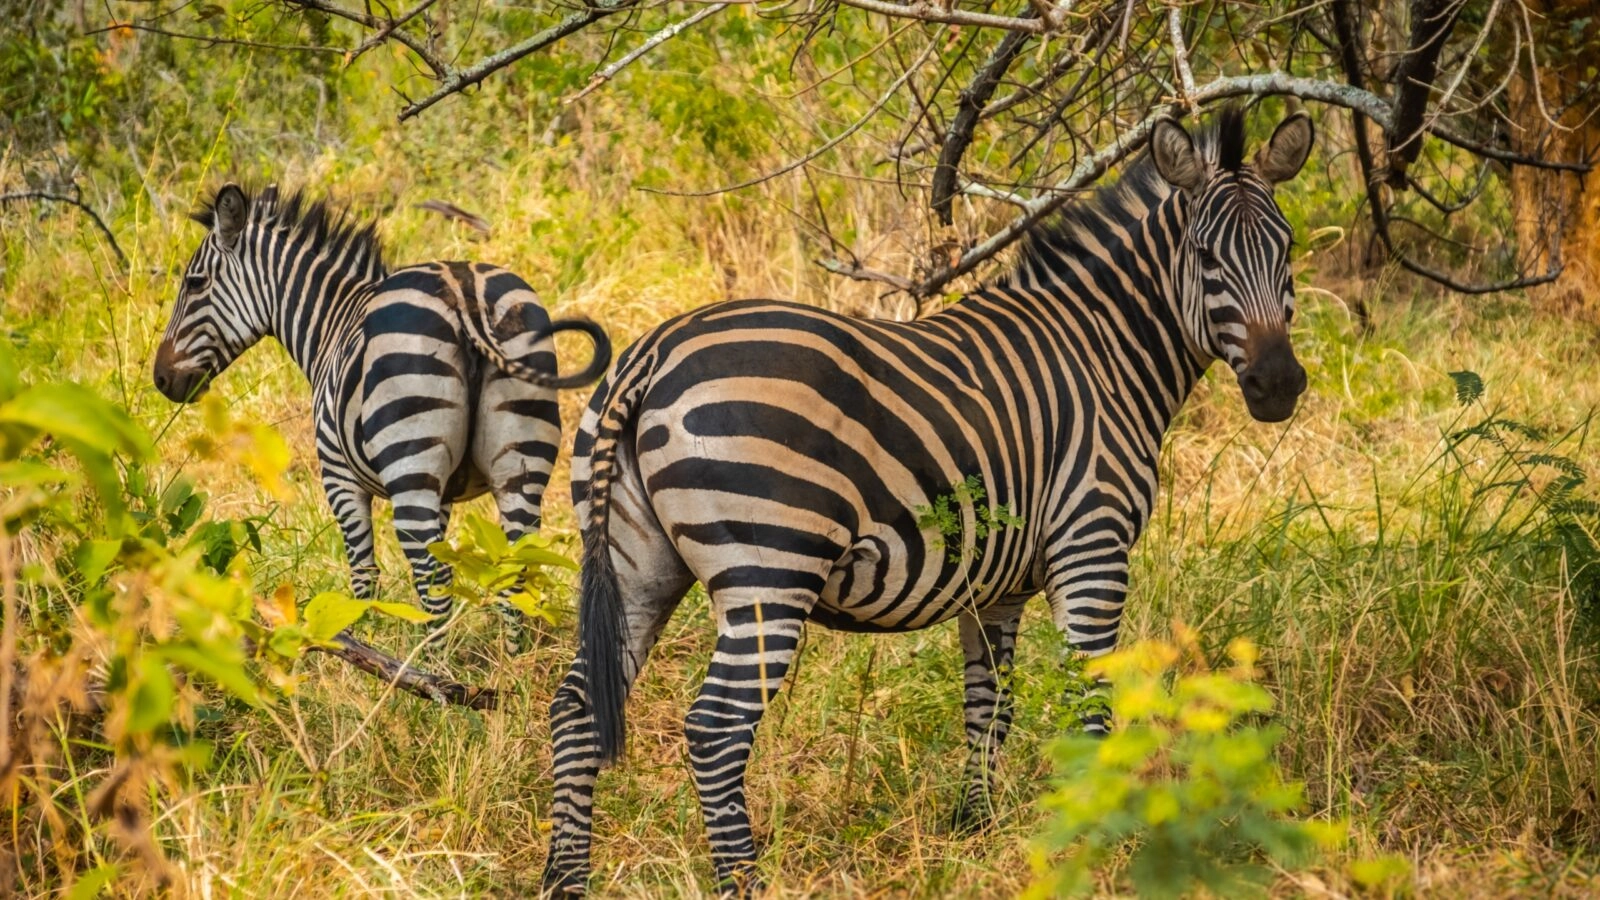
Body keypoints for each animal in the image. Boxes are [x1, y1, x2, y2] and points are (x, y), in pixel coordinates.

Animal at [152, 184, 609, 647]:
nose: (161, 379)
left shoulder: (338, 475)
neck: (331, 324)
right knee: (514, 570)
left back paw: (428, 664)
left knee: (432, 575)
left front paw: (359, 643)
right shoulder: (444, 491)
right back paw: (508, 656)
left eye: (194, 283)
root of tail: (464, 294)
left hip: (410, 461)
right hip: (521, 461)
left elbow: (363, 574)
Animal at [540, 105, 1314, 895]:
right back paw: (744, 881)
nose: (1279, 385)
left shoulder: (997, 585)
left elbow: (990, 706)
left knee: (576, 708)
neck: (1104, 353)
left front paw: (976, 828)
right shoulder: (1092, 546)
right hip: (770, 567)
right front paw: (1101, 838)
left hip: (637, 564)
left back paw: (565, 875)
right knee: (716, 729)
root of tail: (653, 353)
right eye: (1207, 258)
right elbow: (1091, 703)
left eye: (1288, 249)